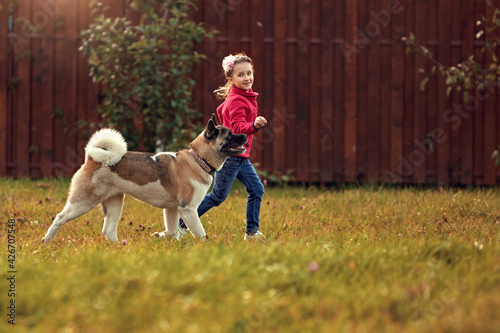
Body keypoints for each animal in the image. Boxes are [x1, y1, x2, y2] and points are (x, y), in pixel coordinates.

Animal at [41, 115, 248, 243]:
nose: (246, 135)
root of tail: (93, 158)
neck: (198, 160)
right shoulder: (188, 209)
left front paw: (162, 238)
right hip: (83, 202)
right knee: (60, 218)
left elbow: (172, 231)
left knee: (108, 231)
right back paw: (47, 240)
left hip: (115, 203)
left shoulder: (172, 209)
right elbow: (200, 233)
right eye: (229, 135)